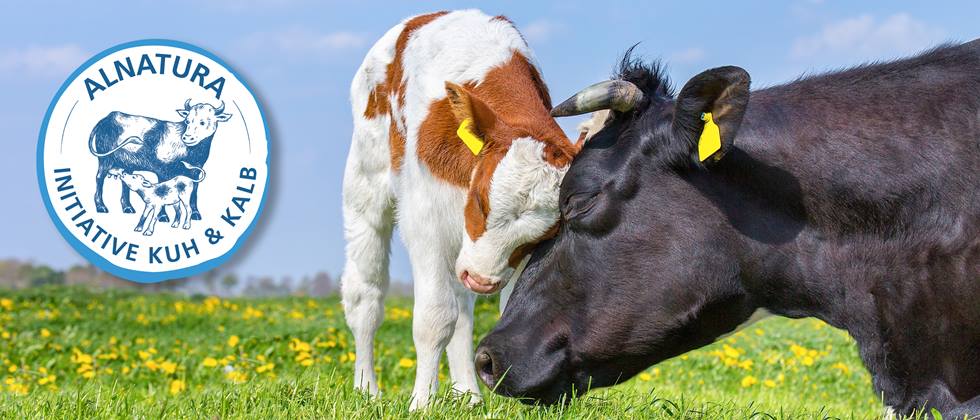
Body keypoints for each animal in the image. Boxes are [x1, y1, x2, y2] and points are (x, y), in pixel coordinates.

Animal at [89, 100, 232, 221]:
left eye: (203, 122)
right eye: (187, 121)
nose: (187, 137)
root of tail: (108, 117)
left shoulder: (196, 171)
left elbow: (194, 193)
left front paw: (196, 214)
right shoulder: (162, 170)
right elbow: (162, 189)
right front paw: (163, 216)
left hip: (128, 165)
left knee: (125, 182)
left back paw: (128, 208)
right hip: (104, 159)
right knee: (99, 178)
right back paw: (101, 207)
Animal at [340, 9, 580, 410]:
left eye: (544, 234)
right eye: (481, 201)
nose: (482, 280)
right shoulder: (426, 224)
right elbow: (434, 318)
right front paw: (421, 403)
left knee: (463, 309)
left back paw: (467, 393)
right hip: (366, 185)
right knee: (365, 297)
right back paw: (365, 389)